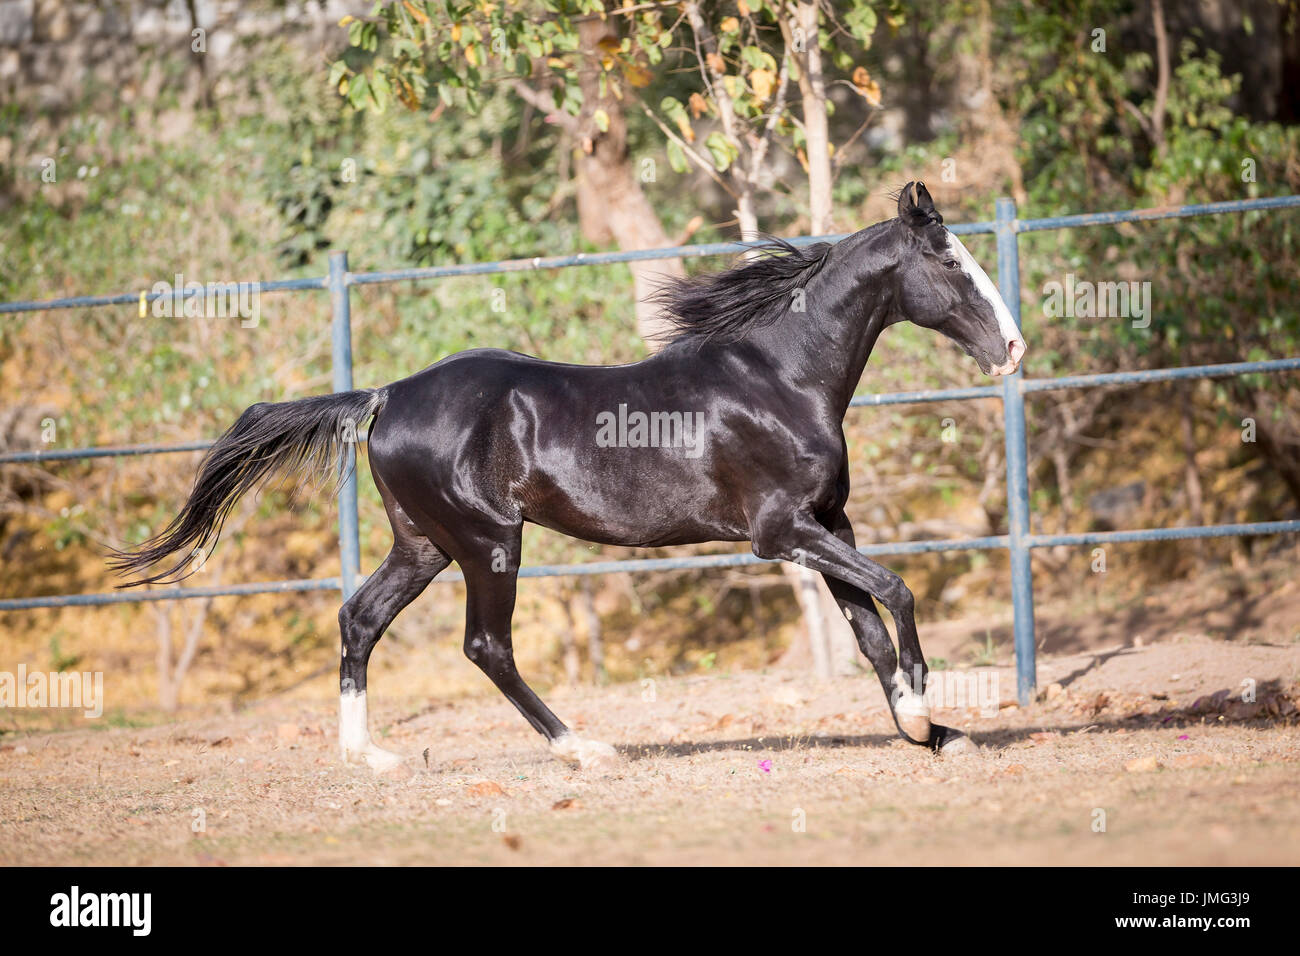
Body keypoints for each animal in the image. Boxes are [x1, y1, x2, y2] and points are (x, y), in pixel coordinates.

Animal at [111, 183, 1024, 775]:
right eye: (949, 261)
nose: (1014, 348)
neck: (780, 377)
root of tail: (385, 396)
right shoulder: (780, 533)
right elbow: (897, 591)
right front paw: (924, 717)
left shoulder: (827, 525)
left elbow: (868, 625)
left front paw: (931, 732)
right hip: (489, 541)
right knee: (486, 646)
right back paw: (583, 746)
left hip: (423, 546)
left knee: (359, 619)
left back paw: (371, 756)